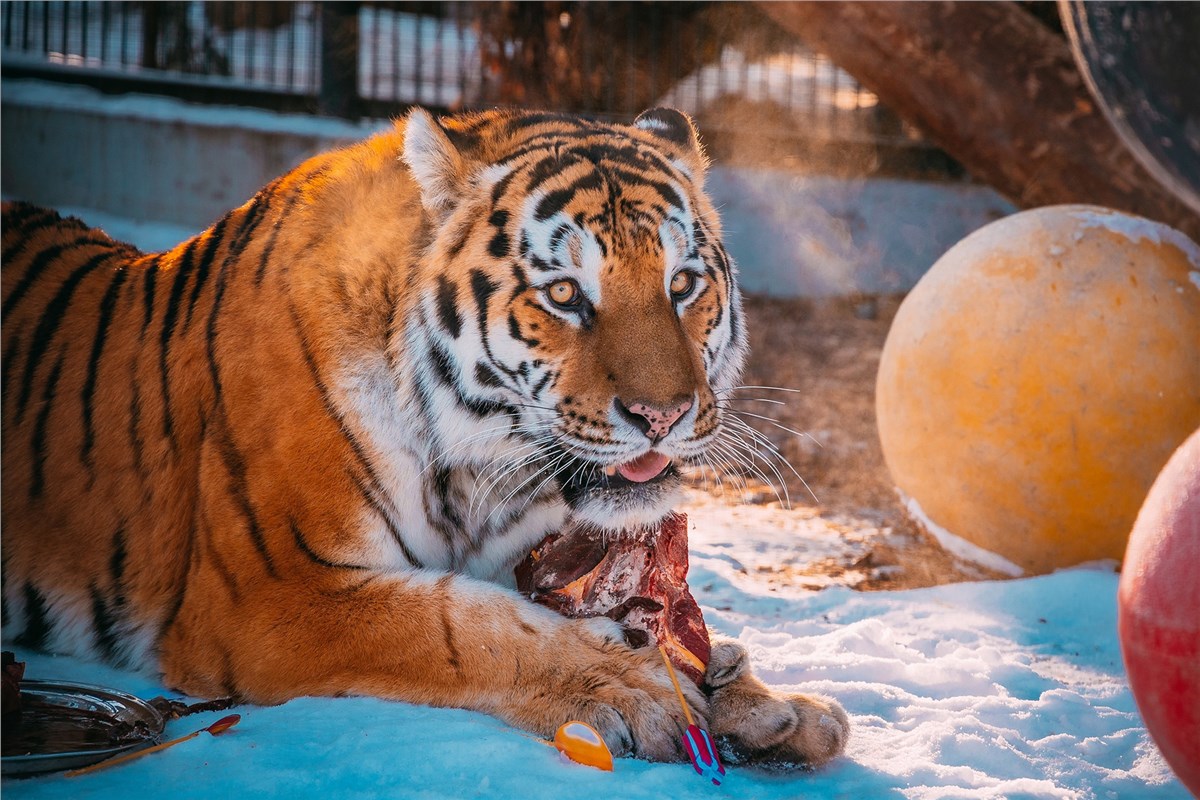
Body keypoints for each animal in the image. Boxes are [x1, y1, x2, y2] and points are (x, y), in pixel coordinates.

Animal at [2, 104, 844, 762]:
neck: (484, 468)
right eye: (565, 295)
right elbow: (466, 626)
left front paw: (776, 706)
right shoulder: (276, 593)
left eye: (682, 284)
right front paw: (640, 689)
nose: (662, 417)